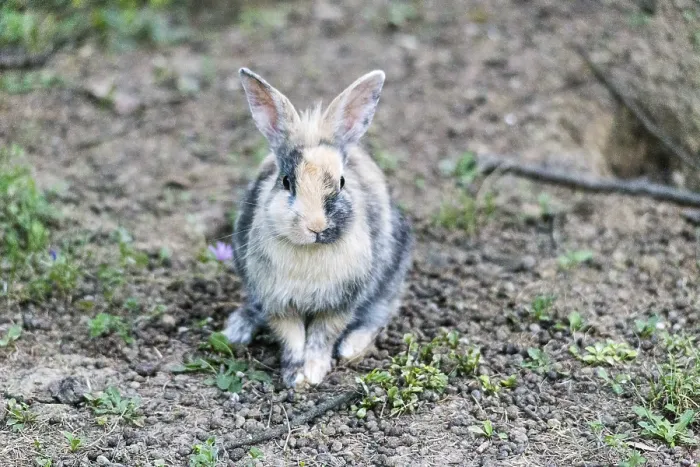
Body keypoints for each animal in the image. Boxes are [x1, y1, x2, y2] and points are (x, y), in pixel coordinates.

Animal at [222, 67, 414, 388]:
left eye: (342, 182)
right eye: (286, 181)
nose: (316, 227)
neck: (310, 250)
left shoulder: (339, 305)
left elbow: (322, 337)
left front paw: (313, 372)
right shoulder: (278, 303)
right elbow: (292, 338)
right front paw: (295, 376)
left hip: (390, 275)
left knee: (379, 313)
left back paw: (351, 348)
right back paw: (236, 330)